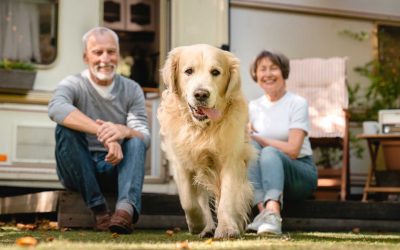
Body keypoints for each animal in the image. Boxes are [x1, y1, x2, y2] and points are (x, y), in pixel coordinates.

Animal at [158, 44, 255, 239]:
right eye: (188, 71)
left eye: (215, 72)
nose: (201, 94)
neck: (203, 128)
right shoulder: (181, 163)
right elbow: (189, 201)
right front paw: (198, 224)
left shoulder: (231, 160)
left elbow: (227, 198)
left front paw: (227, 228)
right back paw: (207, 227)